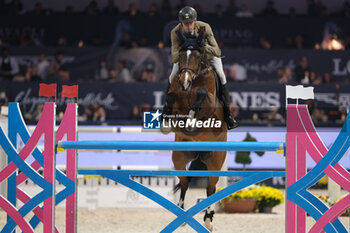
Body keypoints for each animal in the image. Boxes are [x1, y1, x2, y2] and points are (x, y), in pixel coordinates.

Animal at [161, 47, 227, 231]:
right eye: (181, 56)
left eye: (198, 56)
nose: (185, 82)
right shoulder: (176, 97)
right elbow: (171, 97)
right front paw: (166, 122)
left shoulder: (210, 104)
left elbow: (203, 94)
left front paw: (192, 118)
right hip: (179, 158)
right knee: (185, 181)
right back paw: (182, 214)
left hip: (215, 161)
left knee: (211, 187)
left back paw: (208, 220)